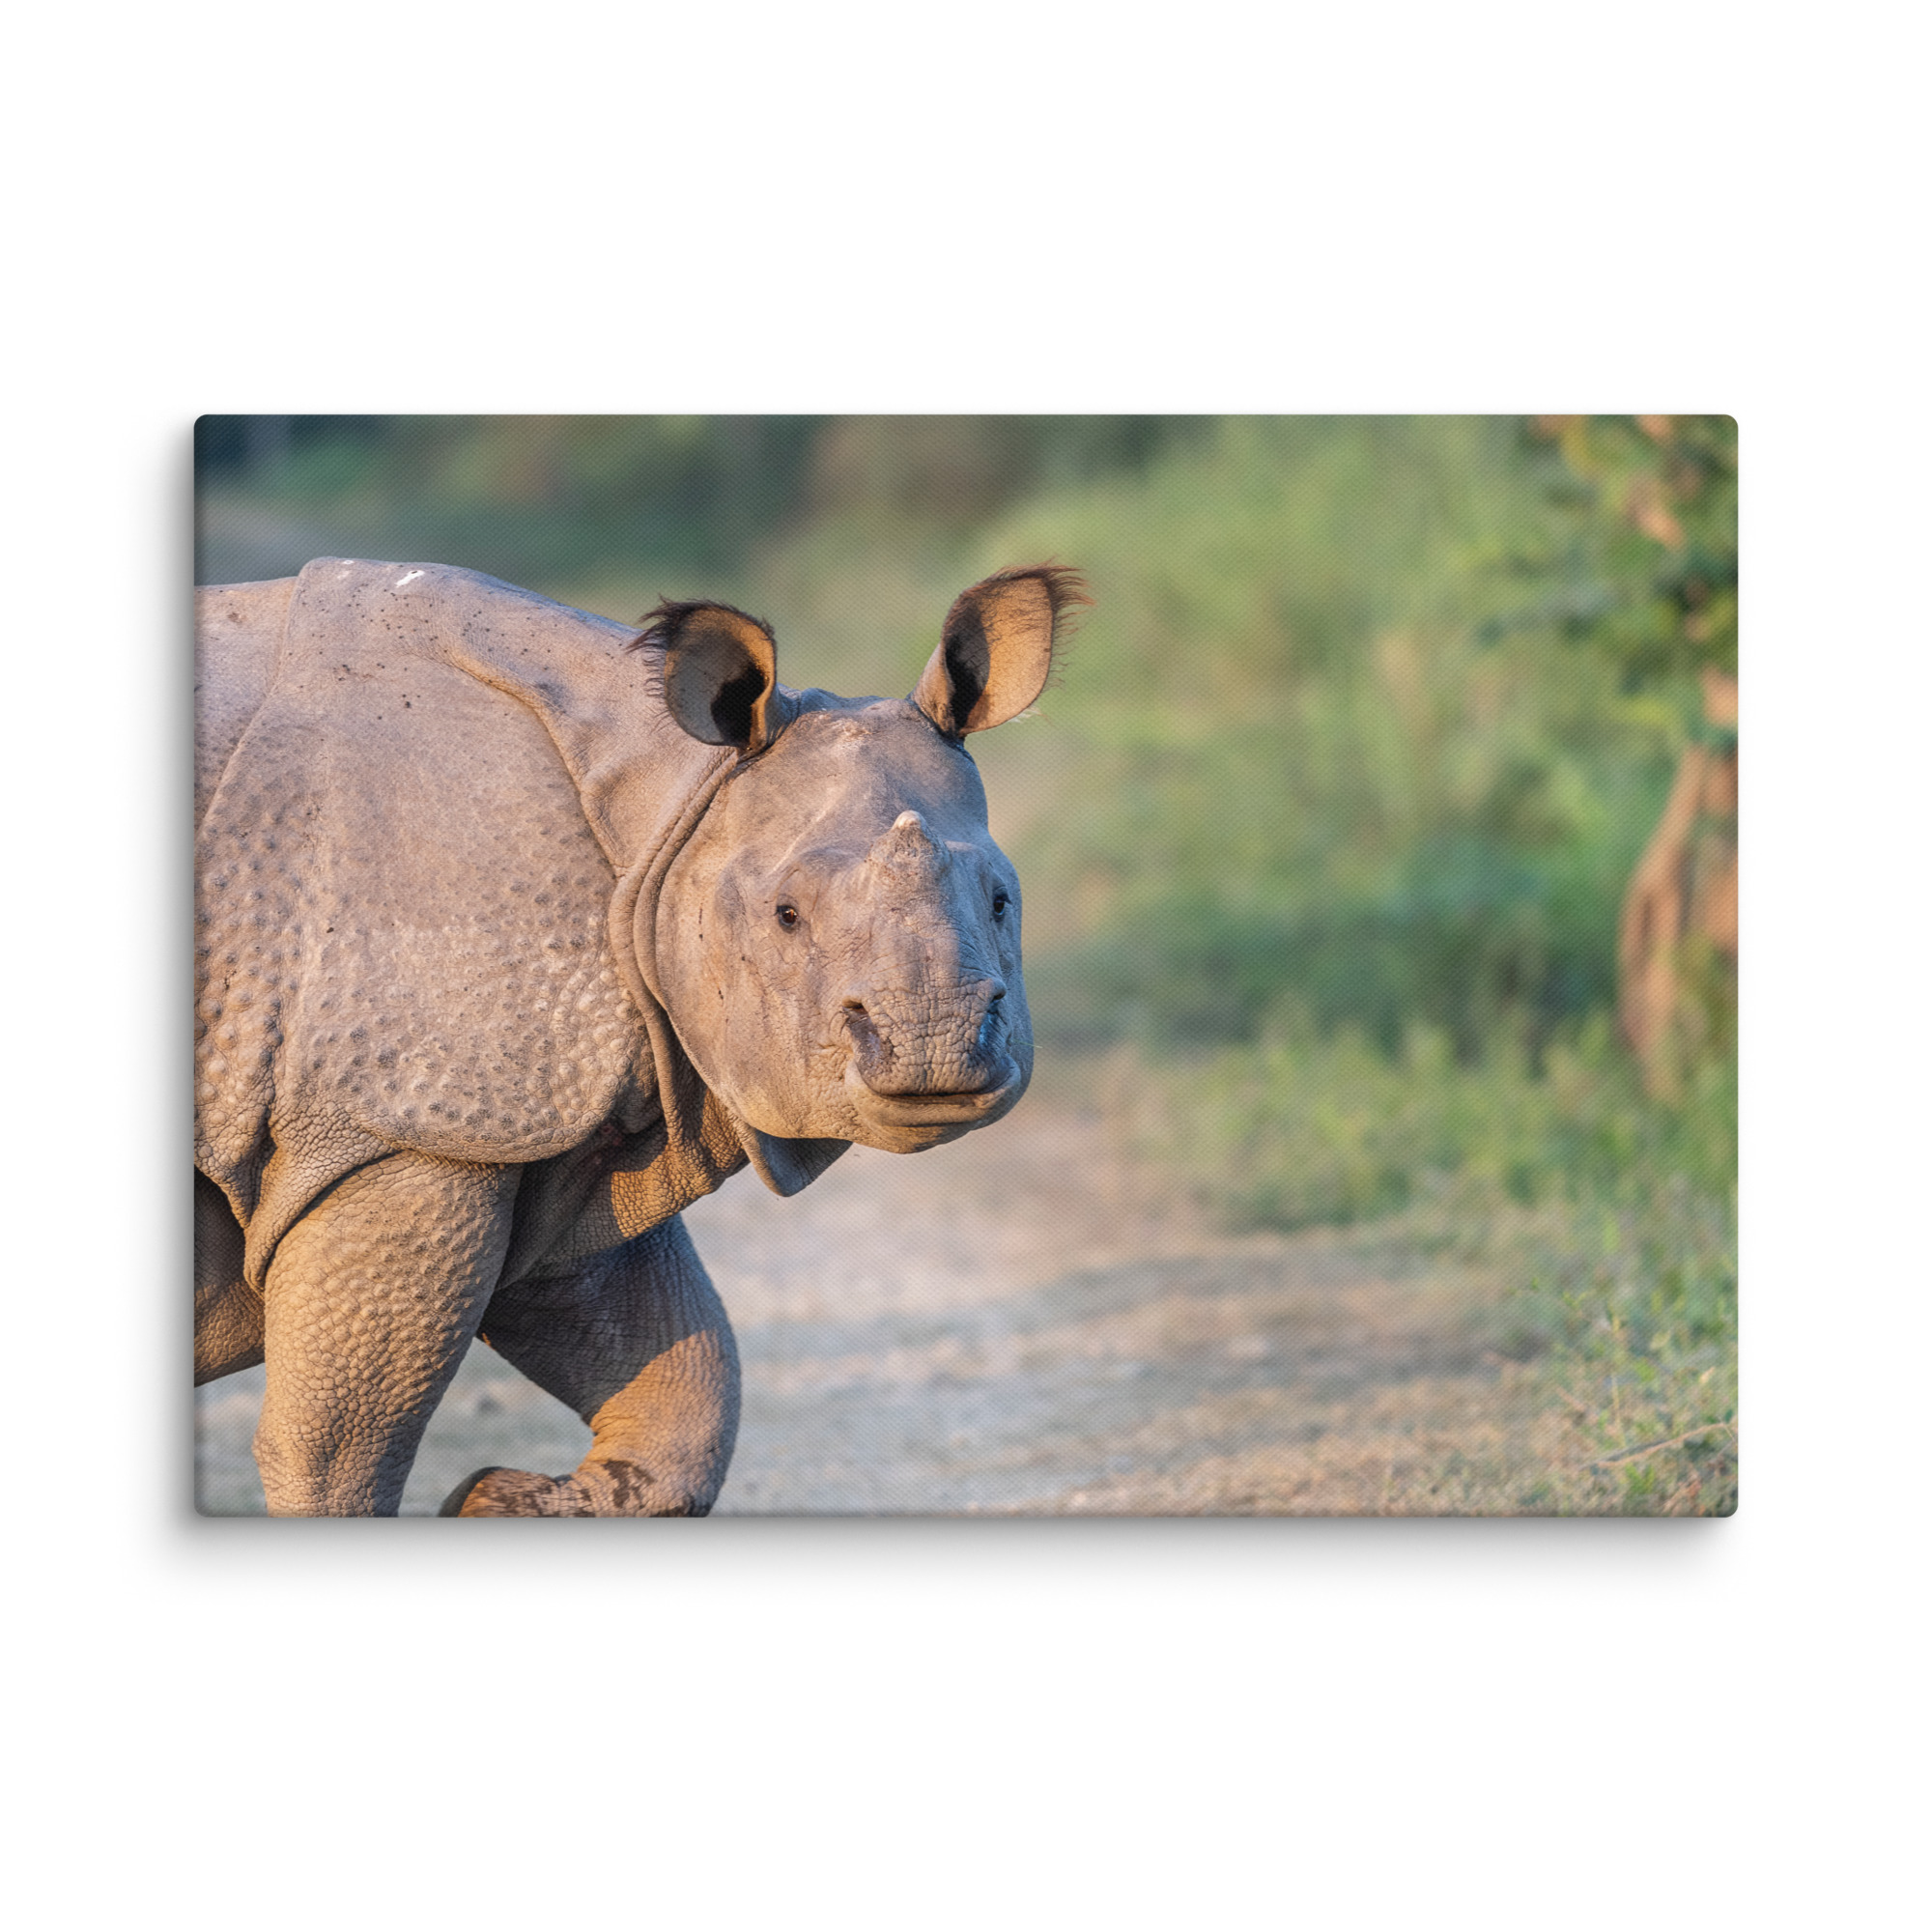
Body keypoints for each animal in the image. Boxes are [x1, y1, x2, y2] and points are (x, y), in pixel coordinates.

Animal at [195, 556, 1087, 1516]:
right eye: (785, 916)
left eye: (1001, 901)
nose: (934, 1047)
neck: (672, 805)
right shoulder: (405, 1127)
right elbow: (340, 1449)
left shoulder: (533, 1126)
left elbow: (682, 1382)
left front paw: (495, 1499)